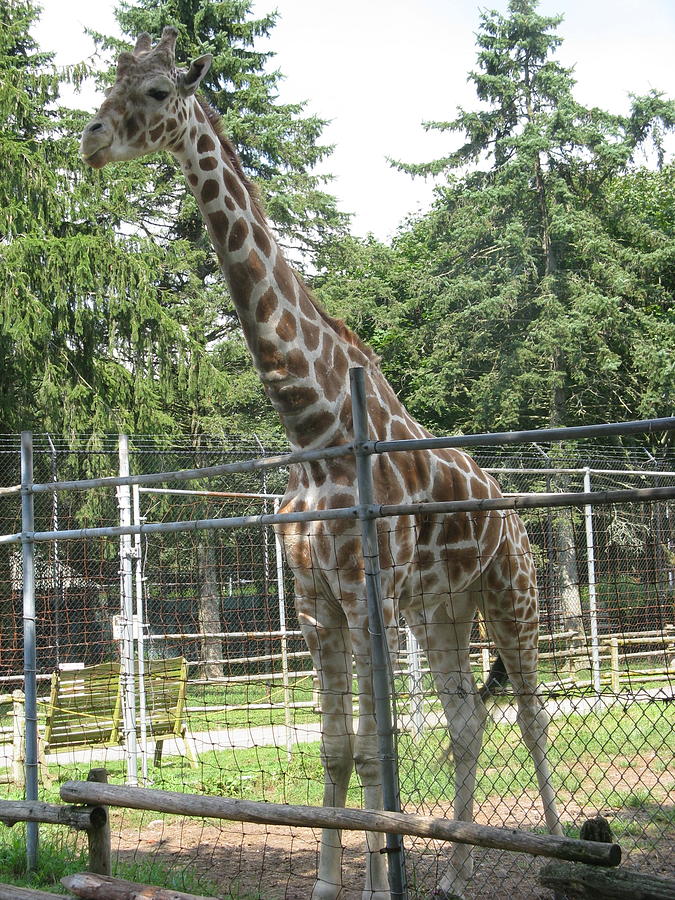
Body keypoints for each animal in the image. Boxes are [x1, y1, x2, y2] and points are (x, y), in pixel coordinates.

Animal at [82, 28, 564, 900]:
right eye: (110, 81)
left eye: (161, 91)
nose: (90, 139)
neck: (312, 426)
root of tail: (510, 512)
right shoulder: (315, 602)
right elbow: (337, 750)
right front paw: (331, 884)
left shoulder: (363, 592)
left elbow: (375, 753)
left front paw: (376, 882)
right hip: (441, 610)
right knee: (467, 720)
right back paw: (453, 874)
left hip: (510, 593)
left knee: (532, 712)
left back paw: (555, 848)